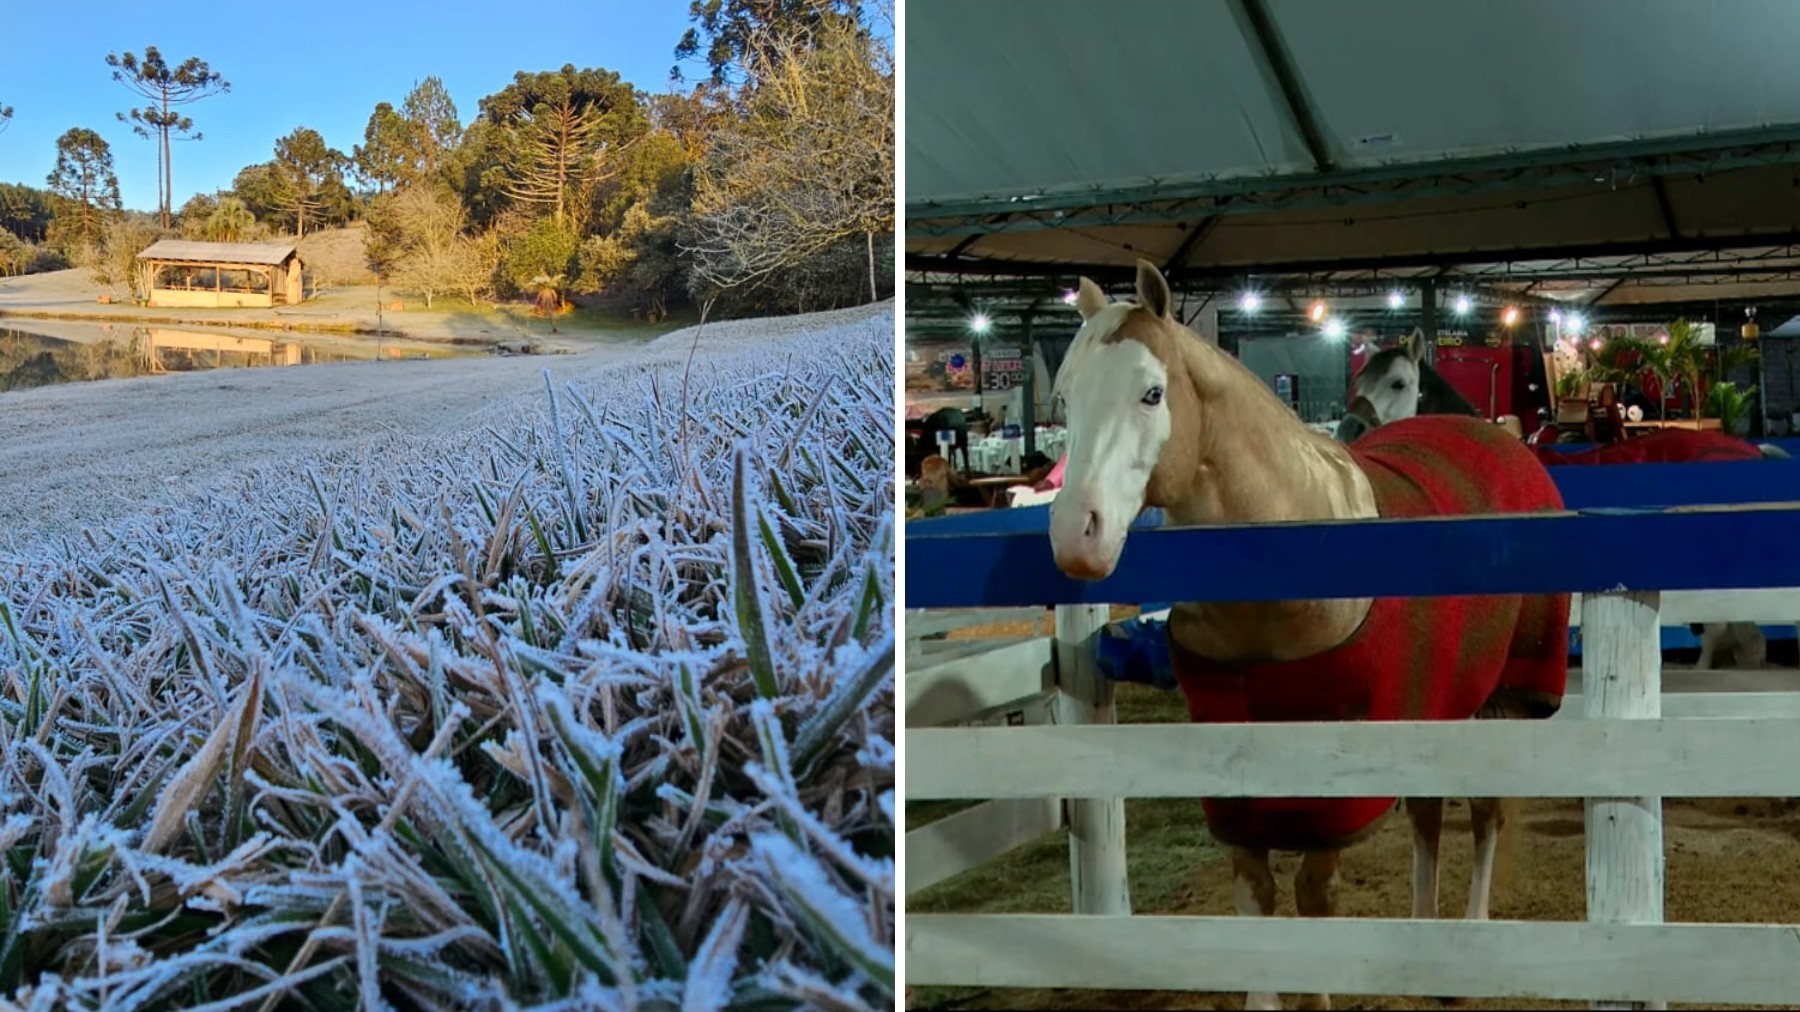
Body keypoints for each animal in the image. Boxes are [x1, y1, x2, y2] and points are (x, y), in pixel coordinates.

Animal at [1047, 260, 1571, 1012]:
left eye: (1152, 393)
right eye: (1064, 398)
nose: (1075, 535)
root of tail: (1500, 435)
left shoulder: (1337, 782)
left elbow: (1313, 898)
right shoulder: (1235, 782)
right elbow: (1258, 897)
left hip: (1505, 697)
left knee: (1484, 815)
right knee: (1427, 815)